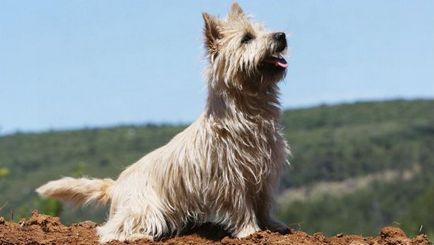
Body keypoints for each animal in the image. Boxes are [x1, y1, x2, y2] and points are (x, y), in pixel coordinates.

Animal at [36, 2, 292, 243]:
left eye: (264, 30)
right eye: (247, 38)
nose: (281, 35)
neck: (251, 112)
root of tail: (116, 184)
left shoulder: (265, 172)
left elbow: (264, 203)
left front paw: (274, 226)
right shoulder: (231, 178)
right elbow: (241, 207)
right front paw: (250, 231)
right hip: (147, 209)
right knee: (110, 231)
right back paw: (138, 237)